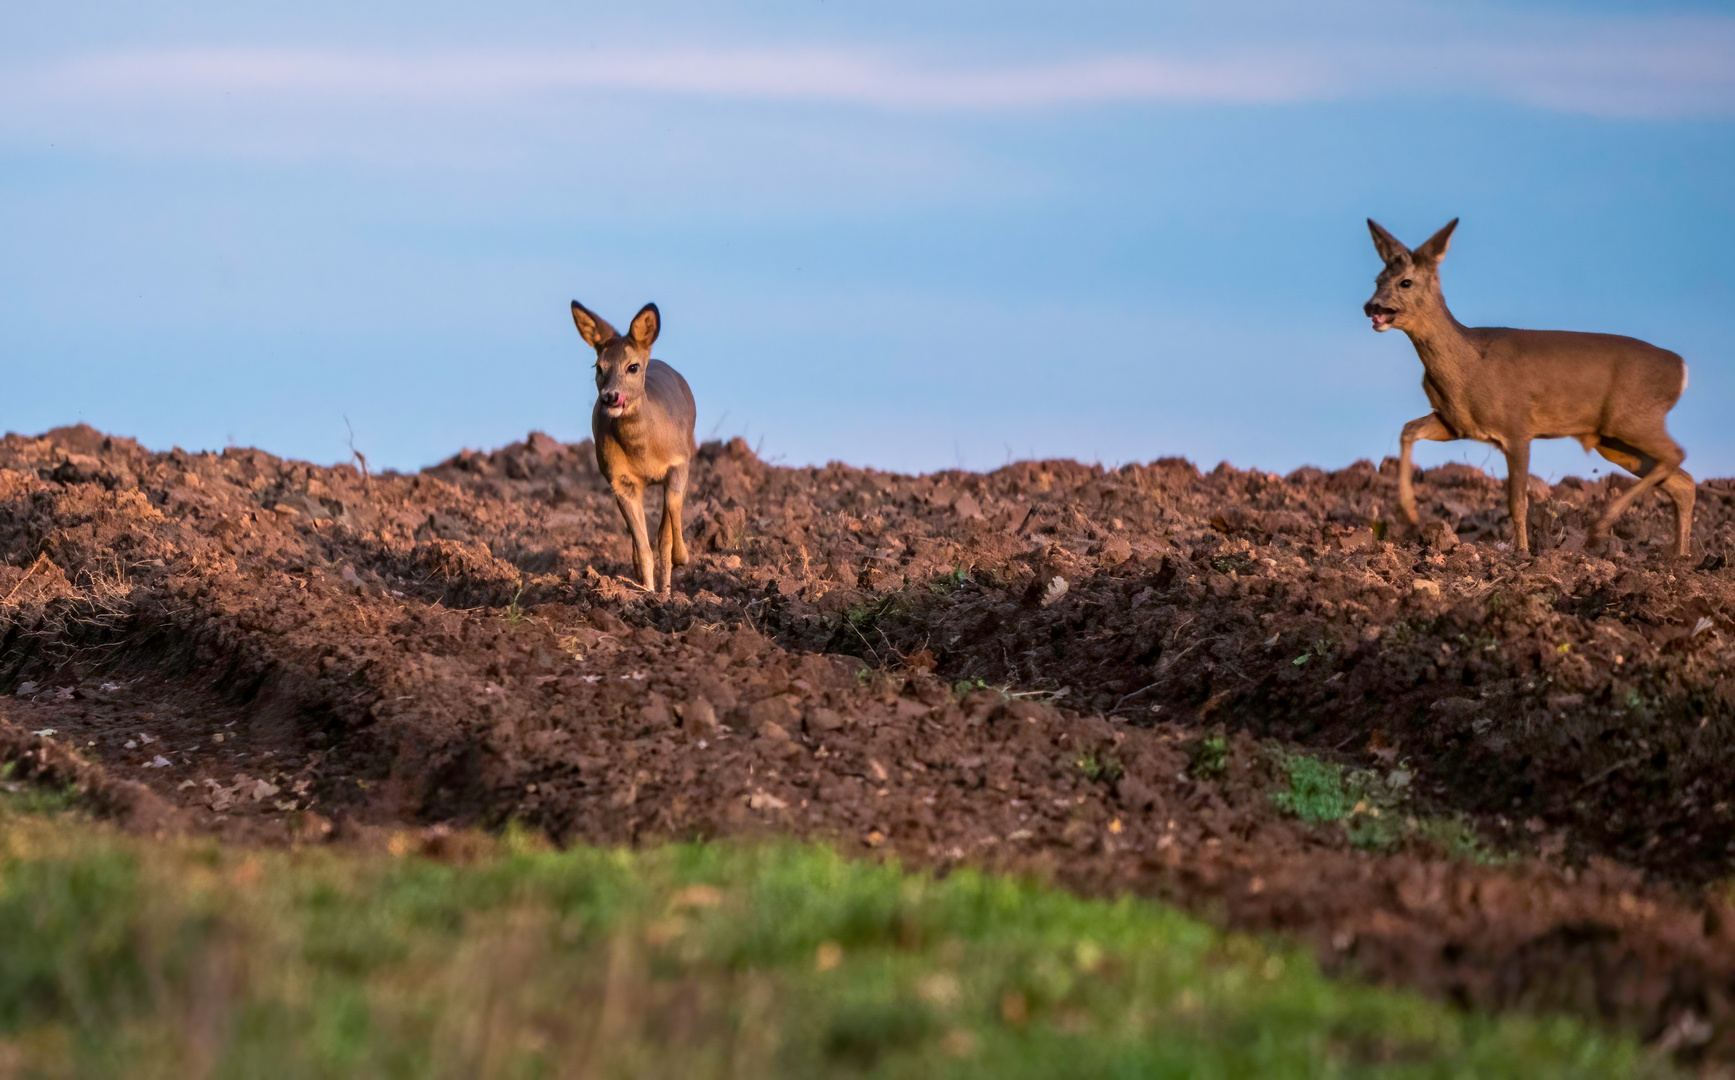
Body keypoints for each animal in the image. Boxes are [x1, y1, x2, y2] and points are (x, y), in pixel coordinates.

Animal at [576, 300, 697, 597]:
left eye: (632, 367)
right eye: (598, 367)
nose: (610, 396)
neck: (645, 451)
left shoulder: (680, 461)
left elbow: (671, 514)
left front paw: (682, 558)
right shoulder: (619, 479)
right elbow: (643, 545)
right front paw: (647, 591)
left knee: (664, 529)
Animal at [1360, 218, 1686, 559]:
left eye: (1405, 282)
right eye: (1378, 279)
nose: (1372, 306)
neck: (1467, 367)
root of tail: (1681, 368)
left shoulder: (1517, 427)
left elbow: (1517, 500)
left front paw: (1523, 552)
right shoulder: (1455, 423)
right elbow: (1408, 430)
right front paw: (1409, 513)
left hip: (1634, 419)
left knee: (1677, 455)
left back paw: (1601, 528)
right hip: (1613, 439)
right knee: (1682, 481)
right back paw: (1680, 554)